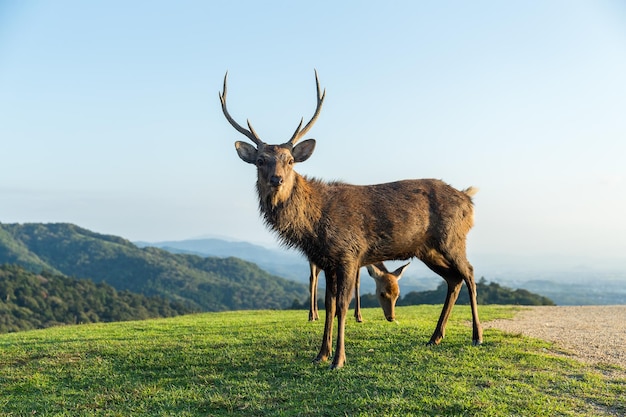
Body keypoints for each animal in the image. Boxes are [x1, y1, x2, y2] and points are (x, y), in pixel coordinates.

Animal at [219, 70, 482, 368]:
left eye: (290, 161)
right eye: (261, 160)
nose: (277, 180)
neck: (314, 225)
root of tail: (468, 199)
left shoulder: (348, 253)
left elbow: (342, 306)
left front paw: (339, 359)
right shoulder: (326, 261)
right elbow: (329, 305)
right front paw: (320, 354)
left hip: (453, 237)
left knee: (470, 273)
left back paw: (476, 336)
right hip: (426, 249)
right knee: (453, 279)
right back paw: (435, 337)